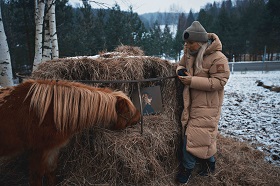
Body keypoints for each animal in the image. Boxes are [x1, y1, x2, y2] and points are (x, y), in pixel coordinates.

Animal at [0, 79, 140, 185]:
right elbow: (37, 176)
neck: (51, 111)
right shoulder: (37, 150)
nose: (138, 118)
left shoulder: (52, 149)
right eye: (128, 112)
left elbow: (51, 171)